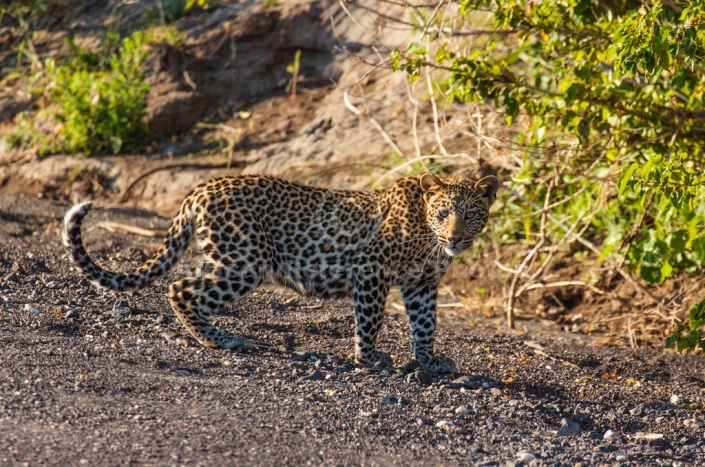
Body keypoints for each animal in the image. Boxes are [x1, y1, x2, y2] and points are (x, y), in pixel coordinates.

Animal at [63, 174, 498, 374]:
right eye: (443, 212)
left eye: (471, 214)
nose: (456, 238)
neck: (428, 237)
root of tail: (202, 187)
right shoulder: (371, 271)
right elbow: (370, 320)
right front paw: (368, 358)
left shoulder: (422, 284)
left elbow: (426, 325)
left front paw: (429, 360)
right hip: (244, 262)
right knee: (180, 288)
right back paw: (222, 340)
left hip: (223, 257)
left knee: (187, 286)